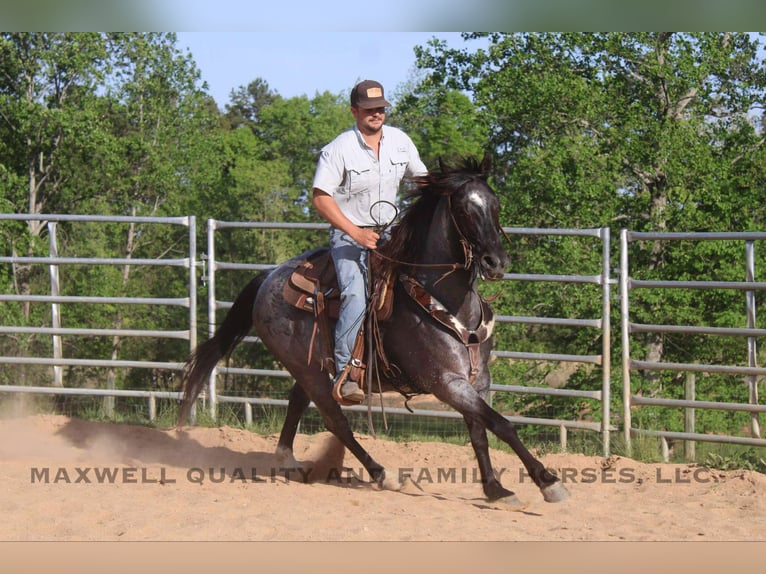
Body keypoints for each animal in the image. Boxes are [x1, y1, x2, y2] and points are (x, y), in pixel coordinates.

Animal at [178, 155, 570, 507]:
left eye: (494, 204)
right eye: (463, 209)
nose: (496, 262)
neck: (446, 301)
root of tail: (269, 277)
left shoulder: (477, 380)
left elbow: (479, 430)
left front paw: (495, 489)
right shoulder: (445, 382)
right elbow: (501, 425)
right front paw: (548, 482)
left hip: (311, 367)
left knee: (297, 403)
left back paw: (288, 461)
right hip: (306, 368)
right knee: (336, 422)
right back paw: (382, 474)